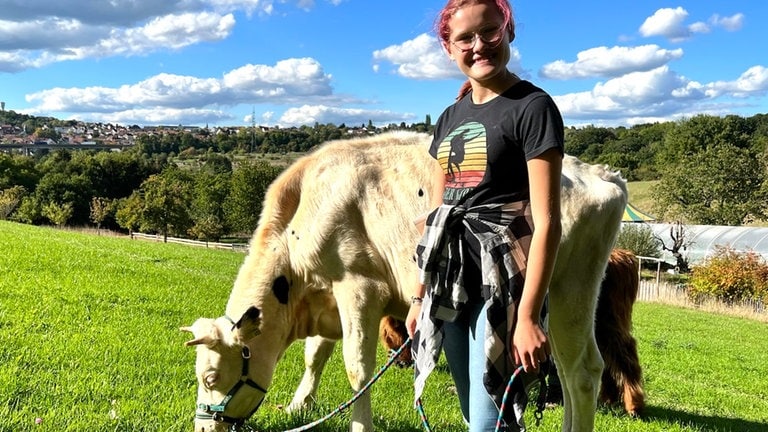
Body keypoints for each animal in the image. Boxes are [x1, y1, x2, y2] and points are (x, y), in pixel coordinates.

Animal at [183, 130, 628, 430]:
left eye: (210, 377)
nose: (203, 427)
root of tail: (601, 173)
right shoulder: (328, 298)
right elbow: (316, 355)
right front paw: (297, 406)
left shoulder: (359, 287)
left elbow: (357, 371)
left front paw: (359, 425)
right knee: (568, 373)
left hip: (571, 289)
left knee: (582, 371)